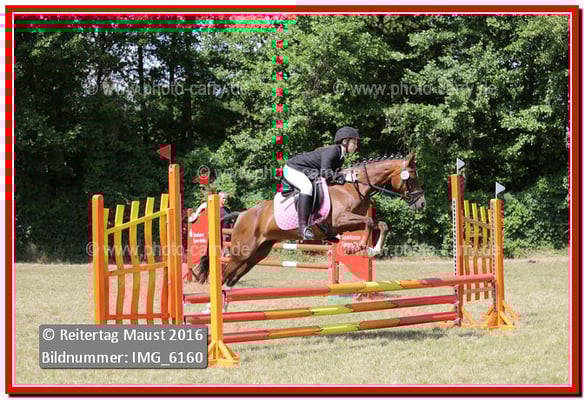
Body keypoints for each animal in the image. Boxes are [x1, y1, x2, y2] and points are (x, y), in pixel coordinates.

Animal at [193, 153, 425, 287]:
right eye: (412, 177)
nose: (422, 204)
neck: (353, 186)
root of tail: (242, 214)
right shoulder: (340, 220)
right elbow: (369, 224)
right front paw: (361, 248)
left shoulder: (351, 221)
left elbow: (381, 224)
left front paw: (373, 249)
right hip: (242, 251)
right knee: (224, 274)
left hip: (257, 253)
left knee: (231, 278)